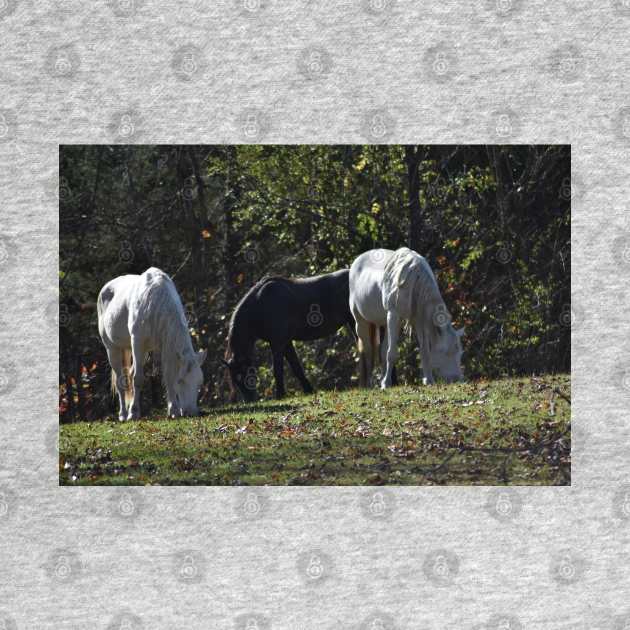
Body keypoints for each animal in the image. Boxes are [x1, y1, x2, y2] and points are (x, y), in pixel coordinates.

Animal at [97, 266, 207, 420]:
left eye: (199, 382)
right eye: (181, 381)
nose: (191, 412)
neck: (154, 301)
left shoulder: (165, 345)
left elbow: (168, 375)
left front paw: (173, 410)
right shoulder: (137, 342)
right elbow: (138, 378)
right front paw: (133, 413)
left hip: (141, 351)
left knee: (129, 374)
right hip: (112, 349)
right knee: (120, 380)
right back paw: (124, 414)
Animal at [226, 270, 360, 400]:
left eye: (245, 373)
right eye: (235, 380)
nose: (249, 400)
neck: (260, 303)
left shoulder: (278, 343)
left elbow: (278, 369)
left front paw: (280, 395)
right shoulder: (285, 343)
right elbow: (296, 367)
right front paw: (309, 390)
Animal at [350, 248, 464, 390]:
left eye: (460, 352)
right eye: (447, 352)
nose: (458, 379)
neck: (416, 280)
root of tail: (357, 260)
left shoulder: (419, 320)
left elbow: (425, 351)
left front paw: (428, 380)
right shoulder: (394, 315)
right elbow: (392, 353)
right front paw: (386, 384)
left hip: (385, 322)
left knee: (382, 350)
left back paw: (382, 379)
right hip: (361, 322)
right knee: (368, 351)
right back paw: (371, 384)